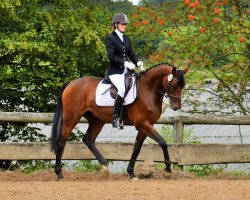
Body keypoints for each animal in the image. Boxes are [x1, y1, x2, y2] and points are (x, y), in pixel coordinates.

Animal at [50, 62, 188, 180]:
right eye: (174, 85)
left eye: (183, 86)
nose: (176, 107)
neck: (148, 90)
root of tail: (71, 83)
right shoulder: (143, 124)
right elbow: (162, 142)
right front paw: (168, 170)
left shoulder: (145, 126)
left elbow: (137, 148)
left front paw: (131, 173)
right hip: (71, 118)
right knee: (61, 142)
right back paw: (59, 174)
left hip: (97, 121)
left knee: (88, 139)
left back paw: (104, 167)